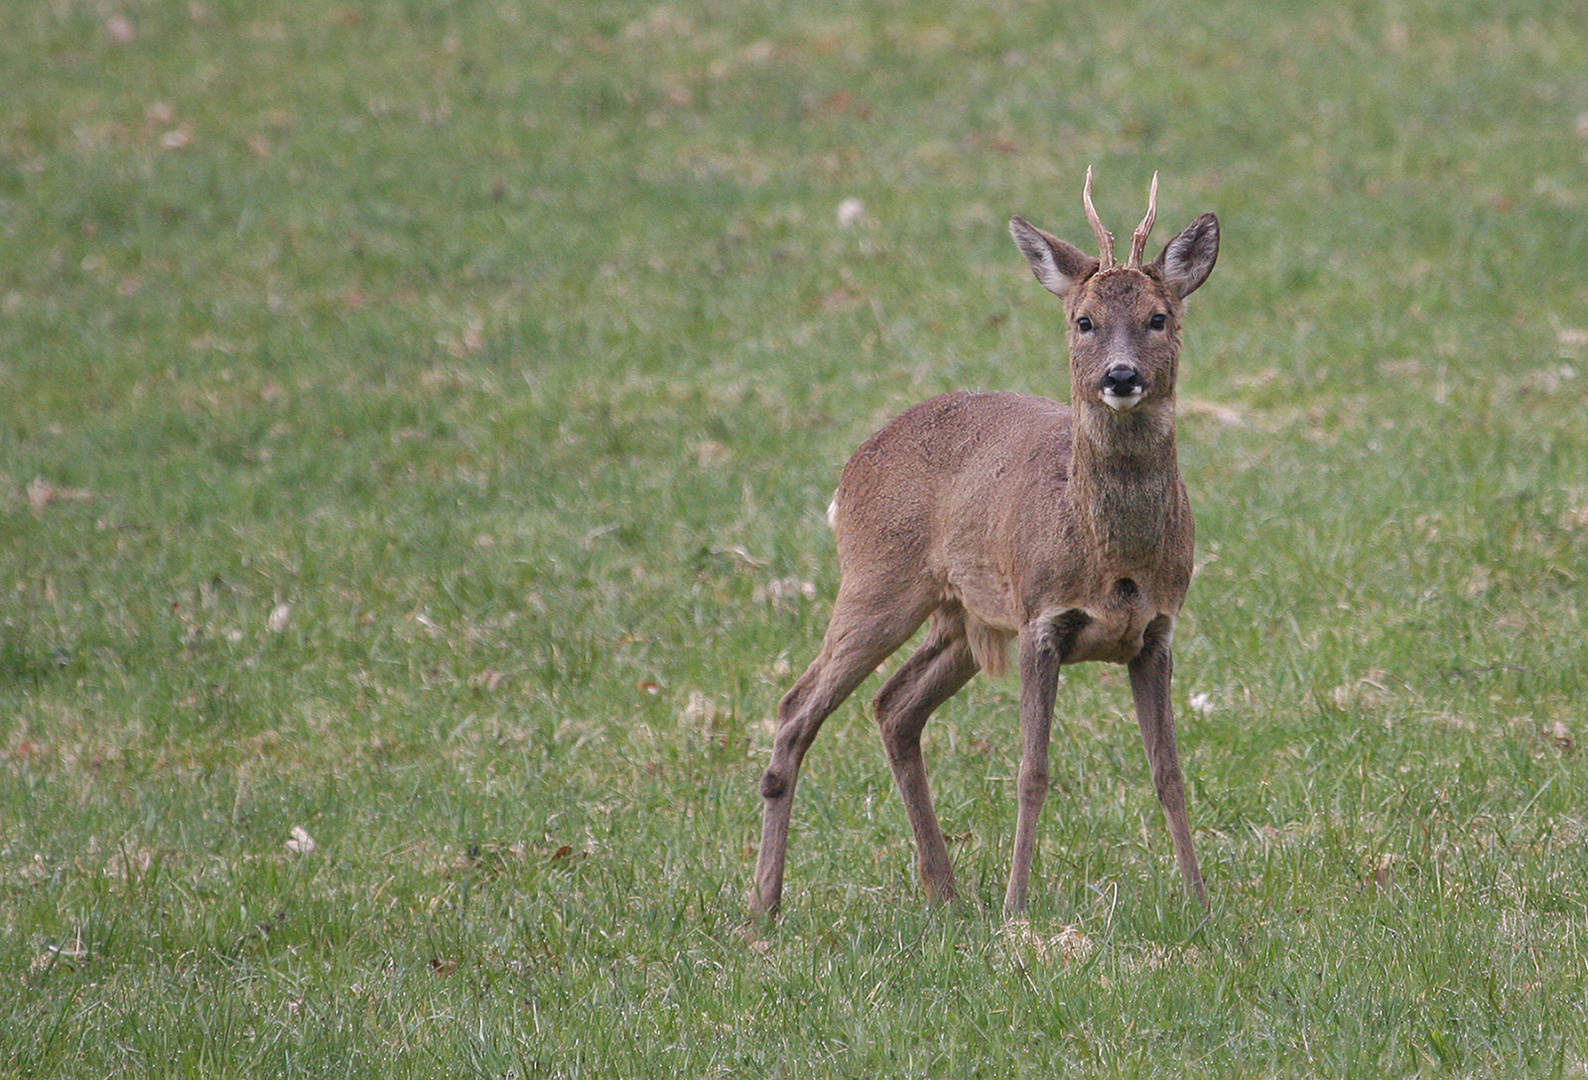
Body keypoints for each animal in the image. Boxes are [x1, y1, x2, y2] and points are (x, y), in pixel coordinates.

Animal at [749, 173, 1219, 914]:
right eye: (1083, 320)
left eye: (1159, 317)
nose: (1120, 376)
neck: (1113, 560)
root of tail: (849, 472)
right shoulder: (1040, 618)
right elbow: (1032, 770)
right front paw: (1016, 907)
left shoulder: (1156, 630)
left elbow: (1168, 771)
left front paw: (1200, 903)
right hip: (878, 582)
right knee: (798, 705)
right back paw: (764, 905)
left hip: (963, 617)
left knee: (894, 707)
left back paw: (942, 890)